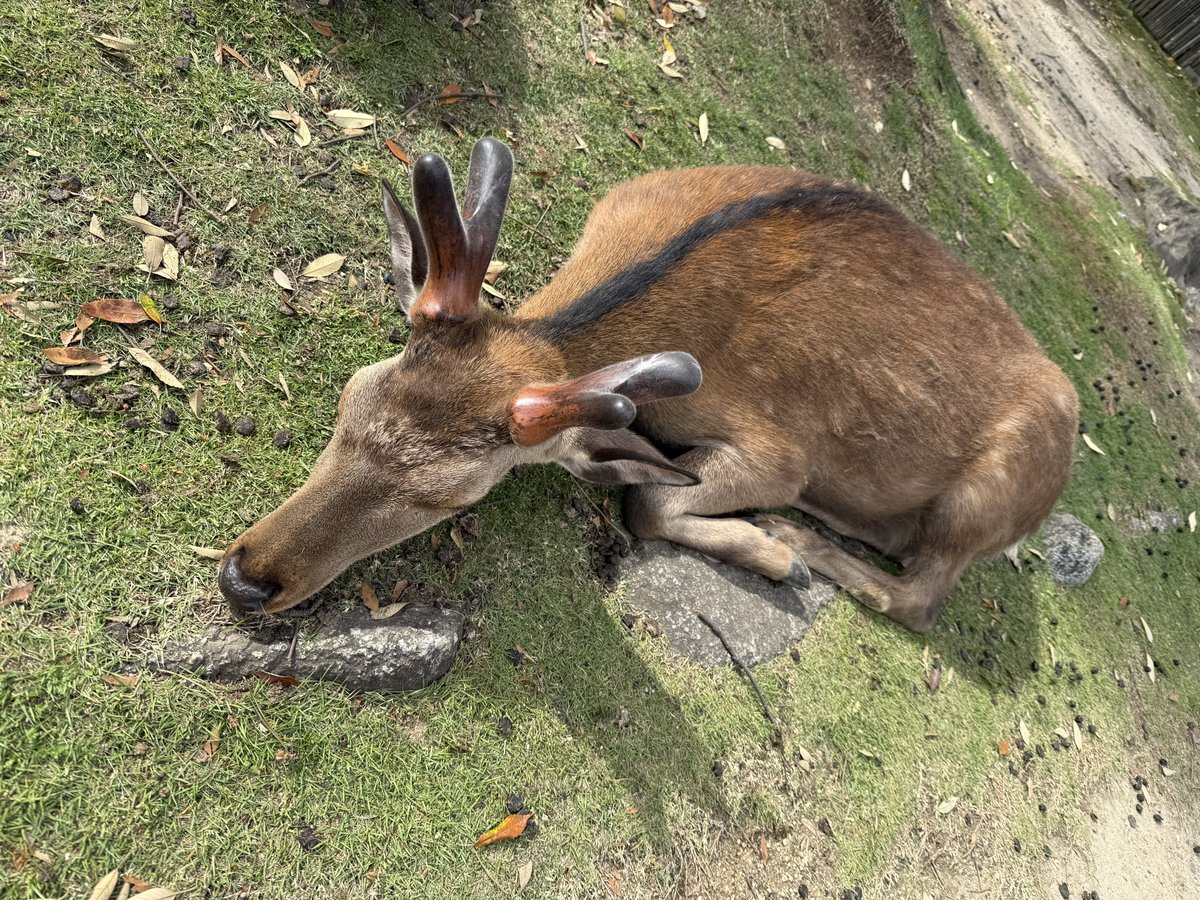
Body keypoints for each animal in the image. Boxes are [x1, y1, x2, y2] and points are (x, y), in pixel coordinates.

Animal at [218, 136, 1079, 634]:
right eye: (349, 399)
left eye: (451, 499)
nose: (245, 581)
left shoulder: (780, 448)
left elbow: (650, 500)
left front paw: (772, 554)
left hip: (994, 491)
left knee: (923, 598)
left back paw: (800, 539)